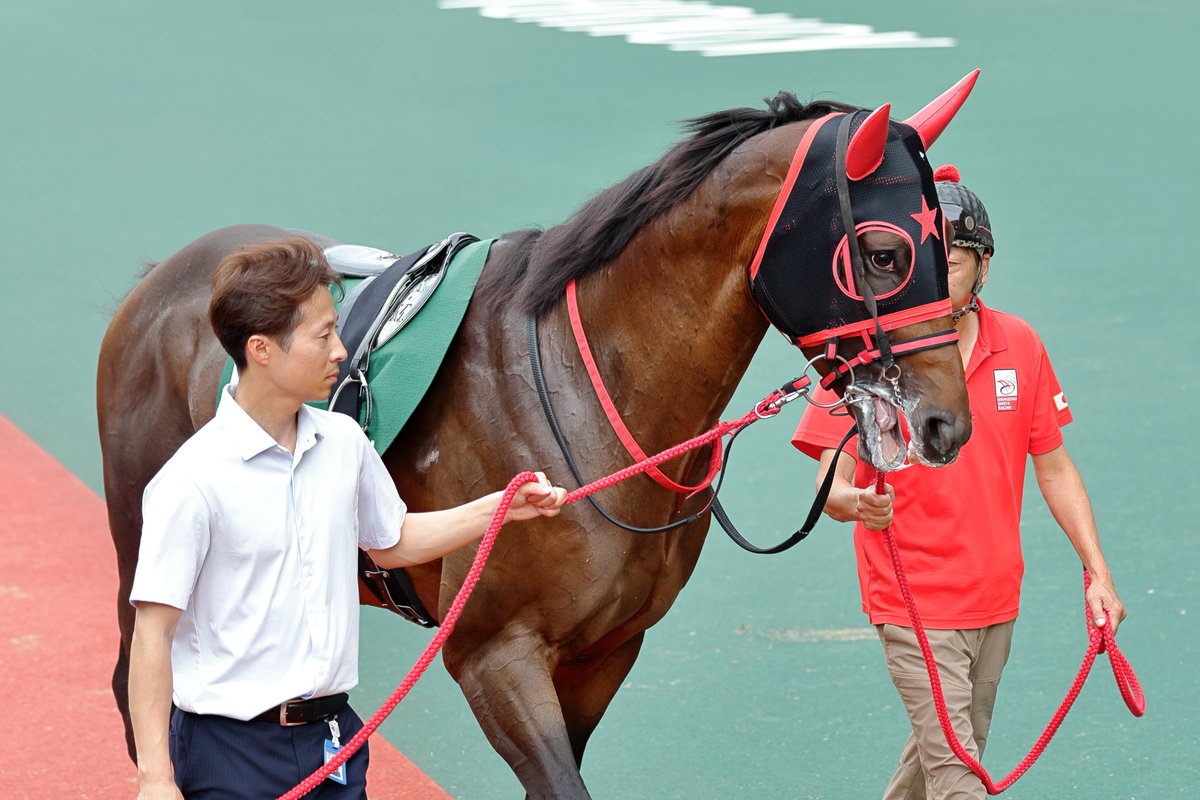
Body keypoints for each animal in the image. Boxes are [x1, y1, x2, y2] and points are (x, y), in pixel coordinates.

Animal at [98, 76, 977, 798]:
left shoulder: (605, 653)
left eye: (947, 246)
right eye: (886, 253)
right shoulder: (493, 653)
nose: (946, 423)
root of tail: (159, 282)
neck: (589, 392)